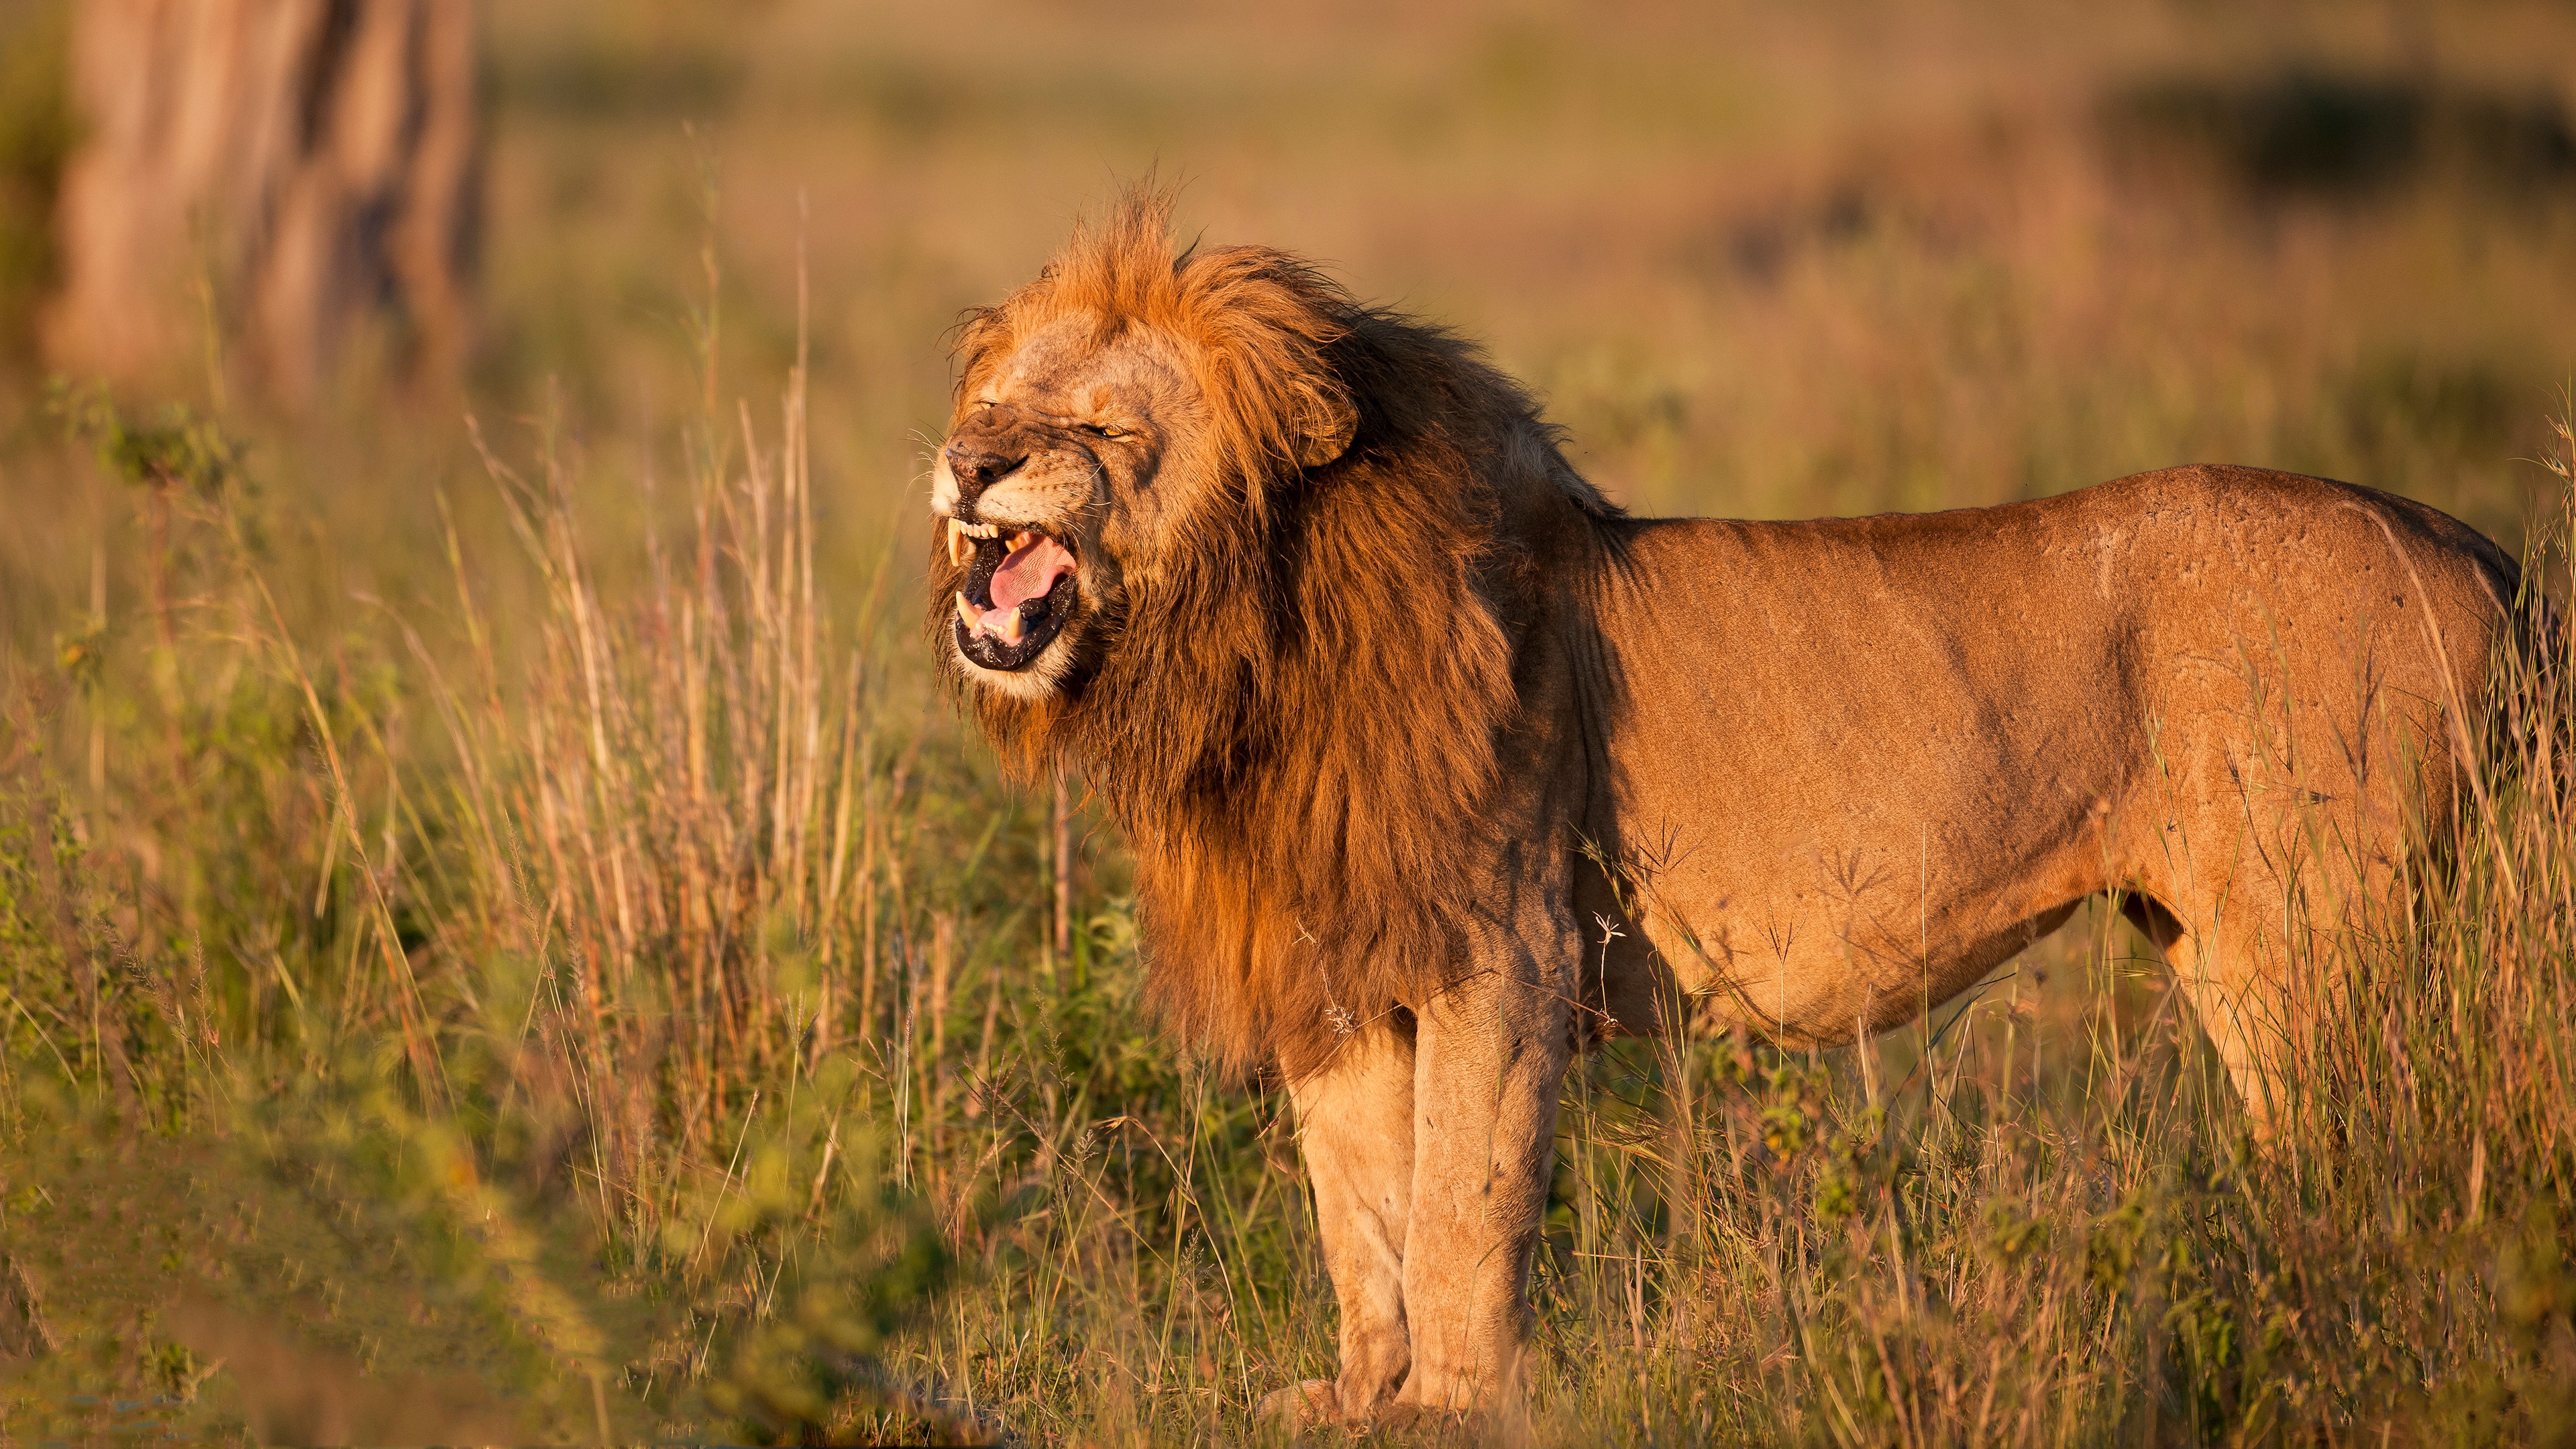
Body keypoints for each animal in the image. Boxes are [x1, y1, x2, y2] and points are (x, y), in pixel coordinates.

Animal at [927, 192, 2514, 1423]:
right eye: (990, 406)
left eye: (1094, 422)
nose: (965, 464)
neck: (1245, 643)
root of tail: (2474, 549)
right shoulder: (1337, 961)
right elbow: (1360, 1210)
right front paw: (1361, 1397)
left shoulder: (1505, 950)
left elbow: (1458, 1207)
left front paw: (1455, 1406)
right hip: (2226, 938)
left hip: (2314, 938)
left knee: (2383, 1147)